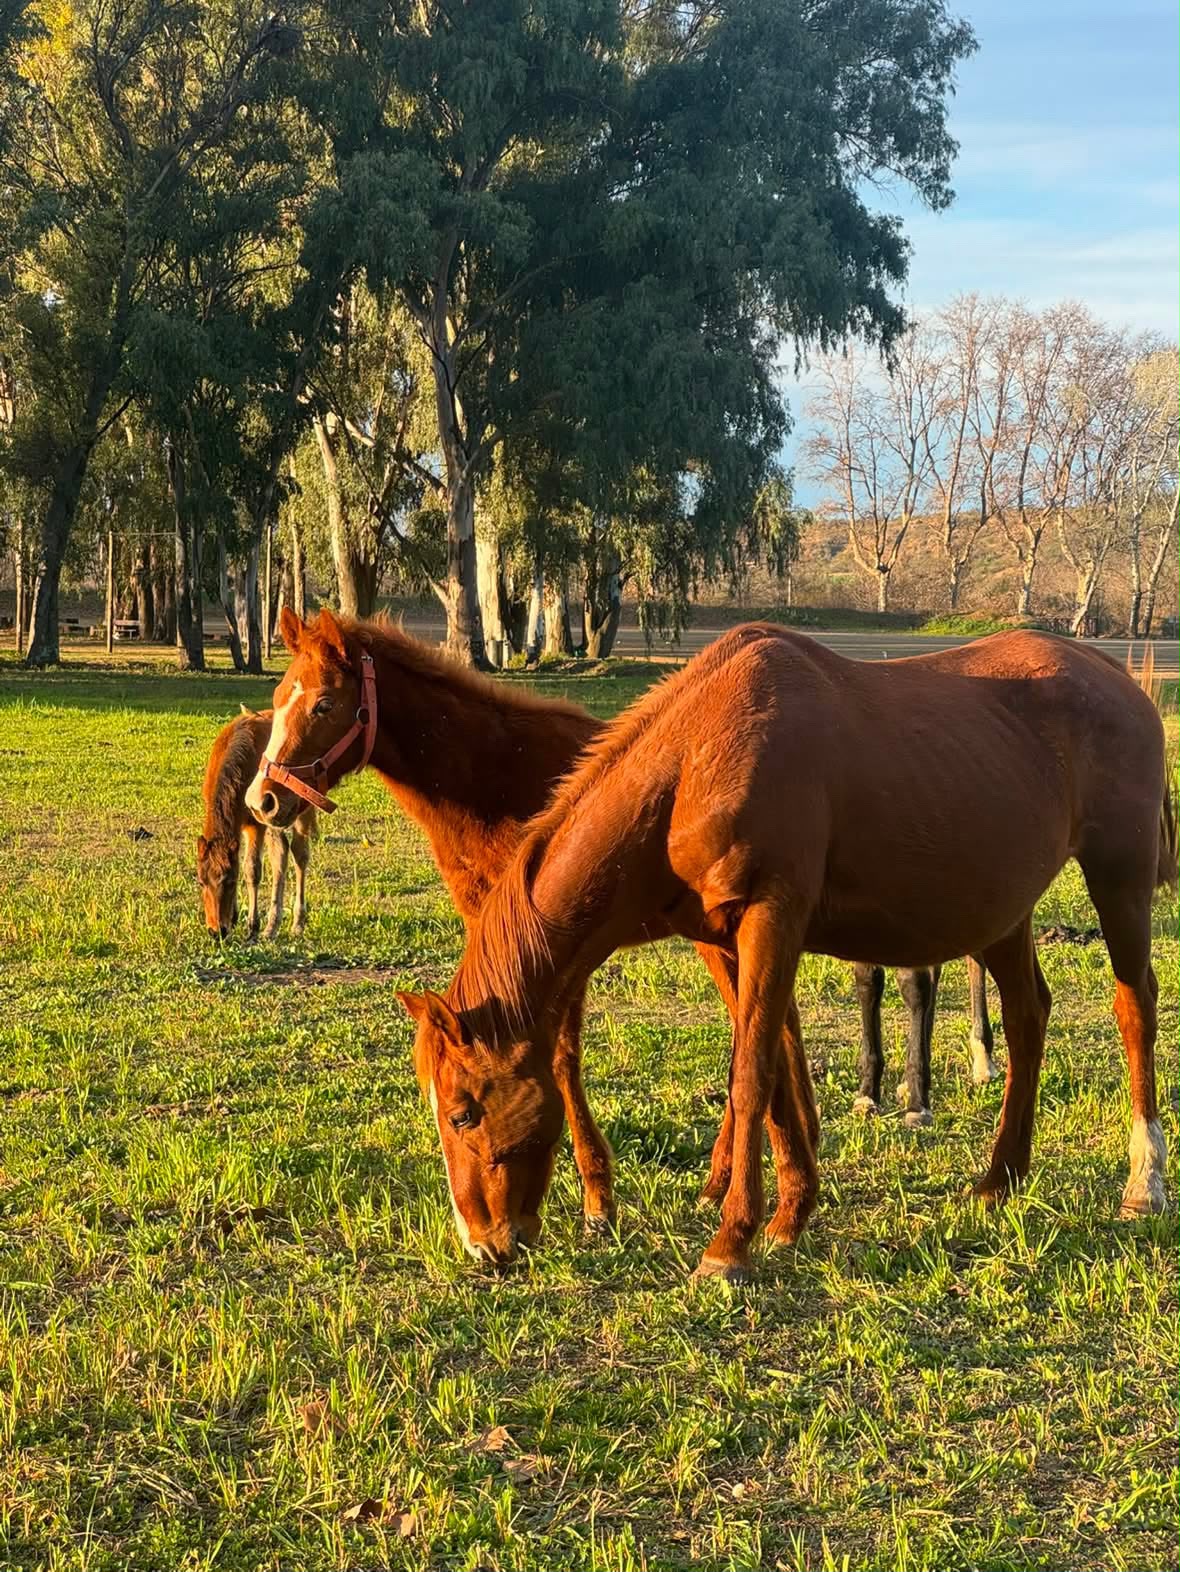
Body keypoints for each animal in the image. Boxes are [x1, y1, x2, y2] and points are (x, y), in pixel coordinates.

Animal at [198, 708, 316, 941]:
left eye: (230, 881)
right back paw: (273, 925)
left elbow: (252, 869)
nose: (216, 932)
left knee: (300, 854)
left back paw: (297, 922)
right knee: (281, 854)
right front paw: (235, 917)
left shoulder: (255, 824)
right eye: (201, 881)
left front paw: (252, 926)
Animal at [244, 610, 990, 1238]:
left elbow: (562, 1059)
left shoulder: (561, 947)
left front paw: (597, 1199)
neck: (498, 776)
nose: (264, 799)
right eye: (277, 698)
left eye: (322, 703)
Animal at [396, 624, 1175, 1280]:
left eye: (463, 1112)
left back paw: (1144, 1181)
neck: (697, 757)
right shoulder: (732, 940)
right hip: (1003, 909)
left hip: (1119, 878)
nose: (484, 1246)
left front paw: (729, 1244)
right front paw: (789, 1217)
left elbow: (750, 1075)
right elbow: (774, 1079)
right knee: (1026, 1016)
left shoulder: (772, 918)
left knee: (1135, 1006)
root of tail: (1115, 675)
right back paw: (999, 1179)